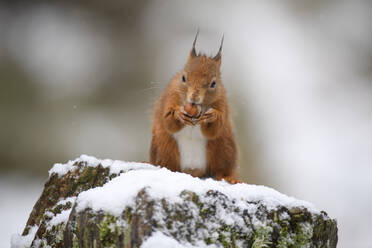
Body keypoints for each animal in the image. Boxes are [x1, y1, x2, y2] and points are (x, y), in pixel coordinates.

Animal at [150, 32, 240, 184]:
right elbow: (168, 121)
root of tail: (193, 171)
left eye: (214, 83)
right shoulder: (170, 97)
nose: (194, 97)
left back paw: (229, 178)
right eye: (183, 78)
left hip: (223, 149)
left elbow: (215, 129)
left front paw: (213, 116)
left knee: (220, 171)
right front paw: (178, 114)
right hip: (164, 147)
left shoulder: (221, 102)